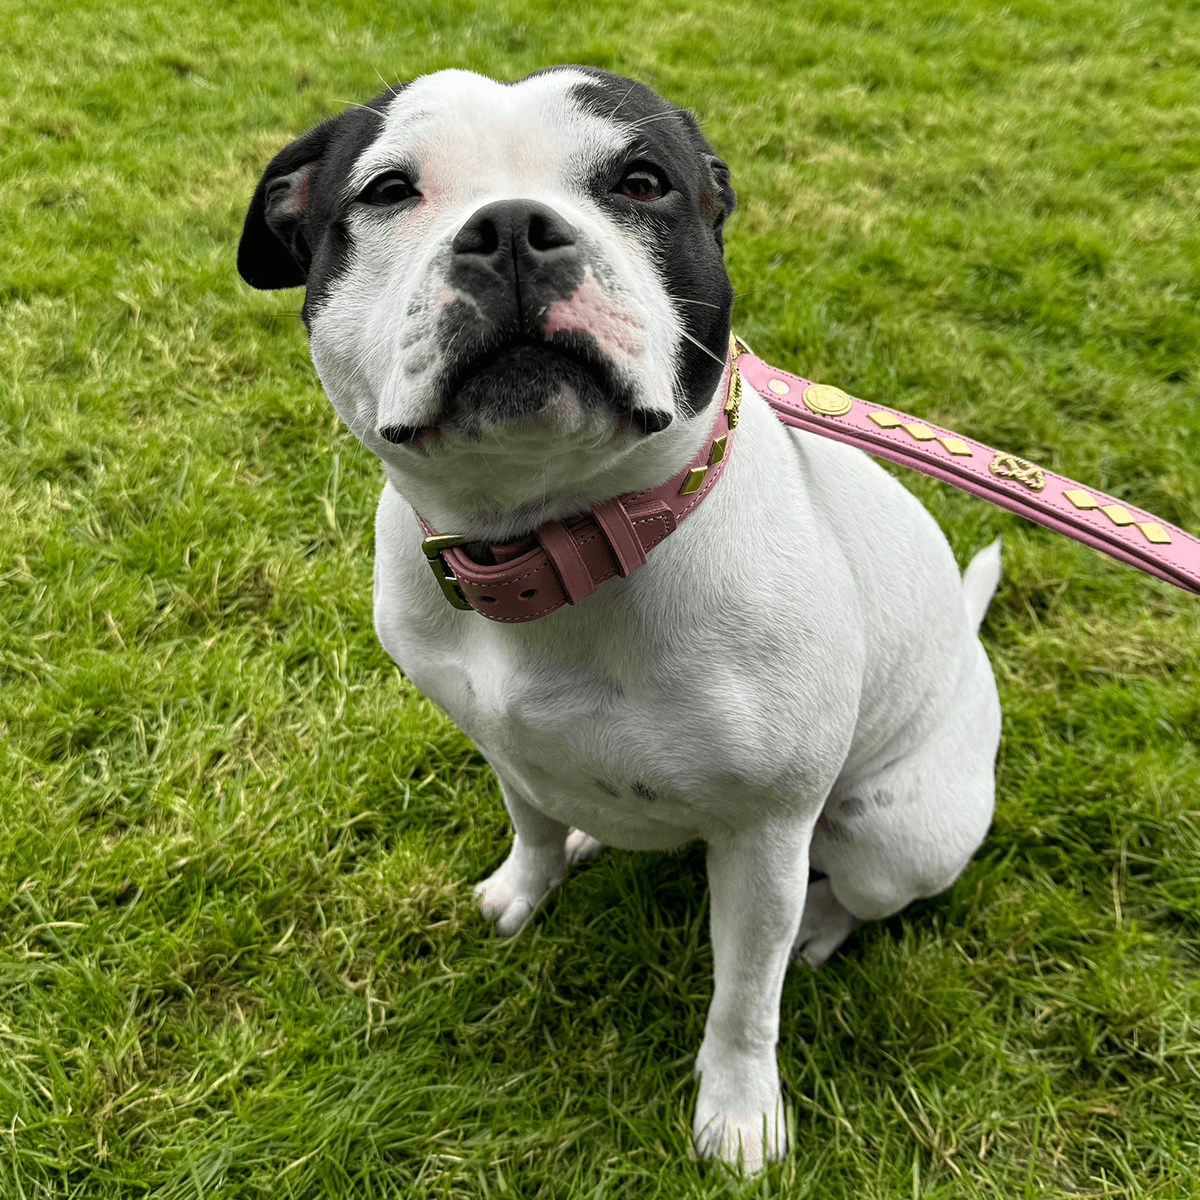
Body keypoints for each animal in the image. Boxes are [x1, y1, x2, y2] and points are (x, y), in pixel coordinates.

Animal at [236, 65, 1003, 1171]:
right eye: (387, 190)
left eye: (641, 181)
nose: (511, 227)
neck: (551, 543)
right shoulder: (504, 748)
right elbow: (530, 825)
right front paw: (525, 888)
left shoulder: (767, 840)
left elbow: (744, 999)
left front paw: (739, 1115)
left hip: (899, 832)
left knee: (852, 894)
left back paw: (819, 930)